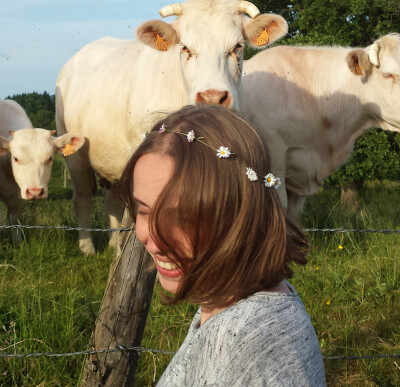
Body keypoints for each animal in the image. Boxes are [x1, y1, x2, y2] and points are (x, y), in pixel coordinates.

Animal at [56, 0, 288, 255]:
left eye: (237, 46)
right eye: (185, 47)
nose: (212, 97)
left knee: (111, 199)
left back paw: (114, 243)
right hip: (73, 152)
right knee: (83, 197)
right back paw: (88, 247)